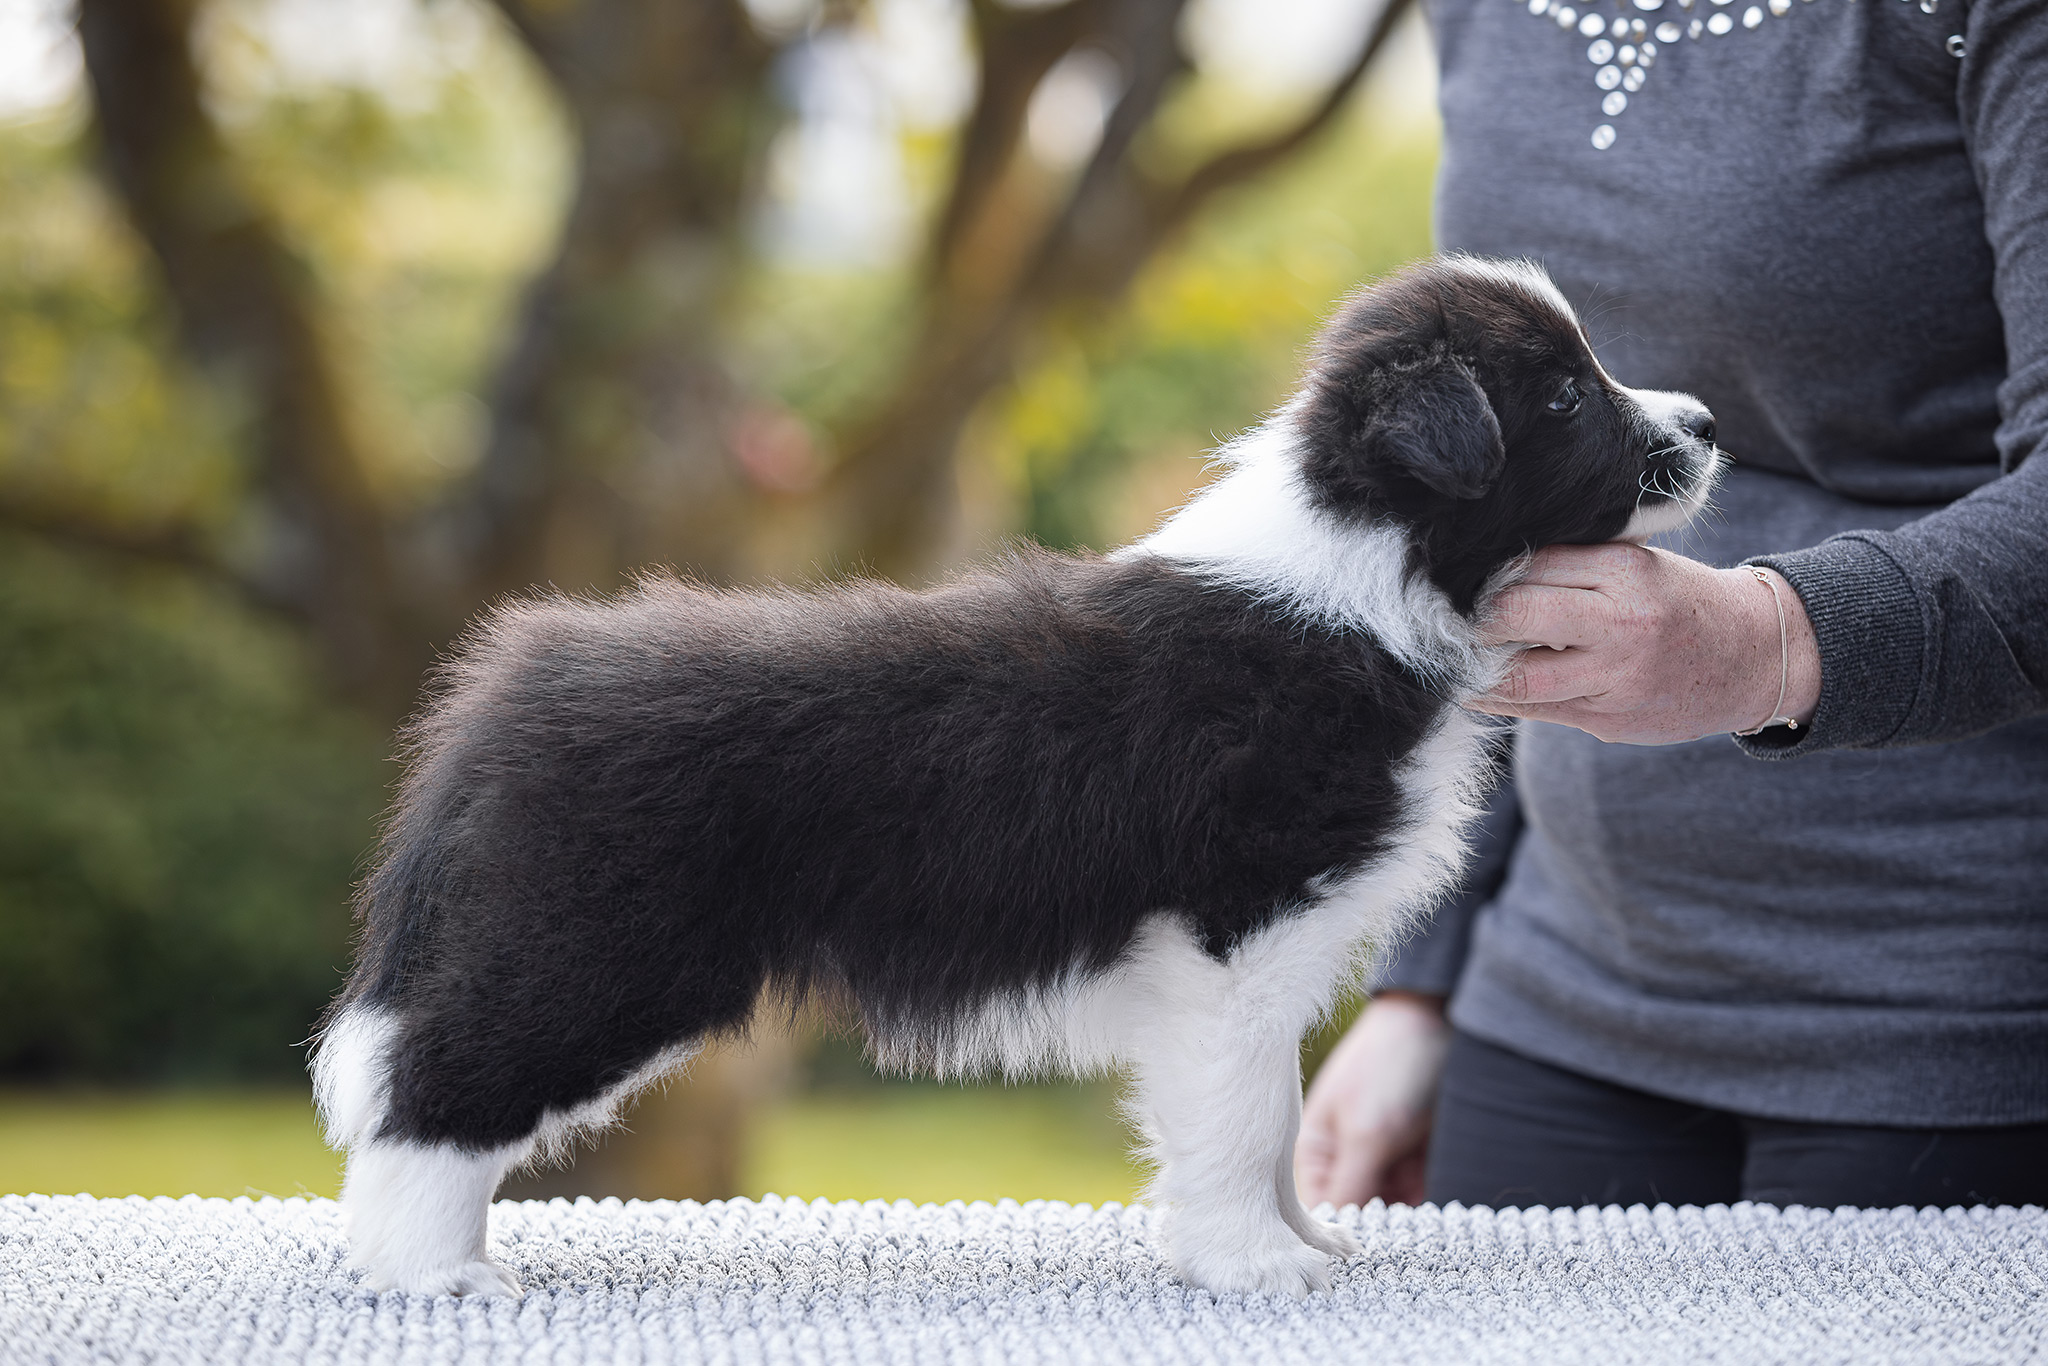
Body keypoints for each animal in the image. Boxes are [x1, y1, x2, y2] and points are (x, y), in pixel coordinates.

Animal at [311, 259, 1720, 1302]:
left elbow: (1269, 1111)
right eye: (1561, 397)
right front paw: (1254, 1266)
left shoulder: (1255, 957)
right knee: (435, 1088)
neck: (1361, 570)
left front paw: (1297, 1238)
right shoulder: (1237, 931)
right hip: (597, 946)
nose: (1704, 427)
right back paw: (431, 1272)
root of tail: (513, 683)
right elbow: (1241, 1115)